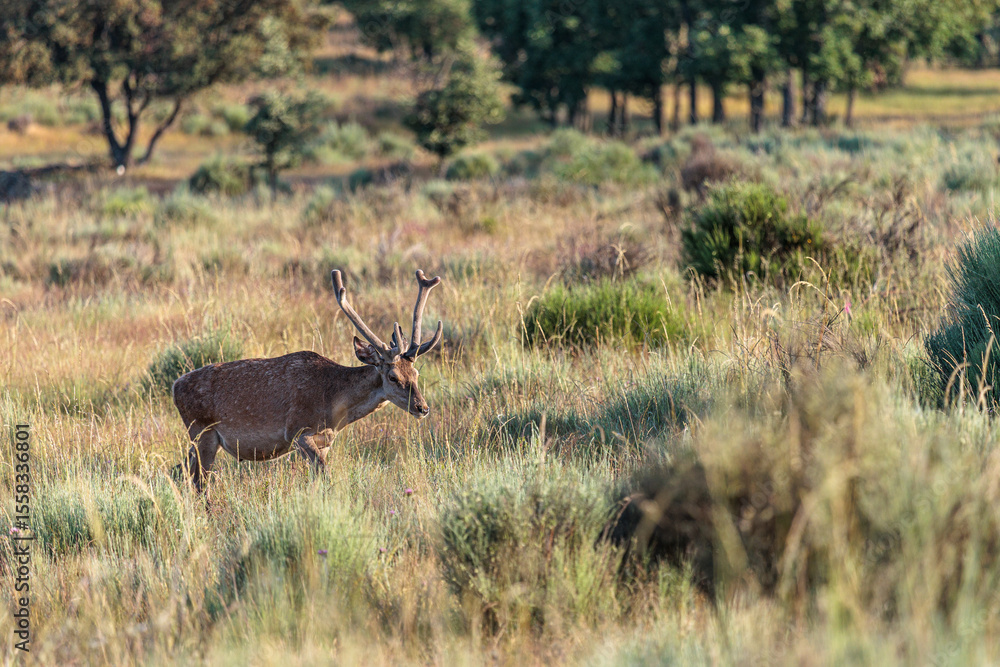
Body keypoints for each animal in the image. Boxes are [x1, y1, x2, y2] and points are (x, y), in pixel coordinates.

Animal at [171, 269, 444, 491]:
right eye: (393, 376)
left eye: (416, 374)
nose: (422, 407)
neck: (333, 406)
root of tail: (175, 386)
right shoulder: (298, 432)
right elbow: (325, 476)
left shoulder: (325, 441)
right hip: (202, 431)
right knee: (199, 484)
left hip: (199, 440)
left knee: (181, 471)